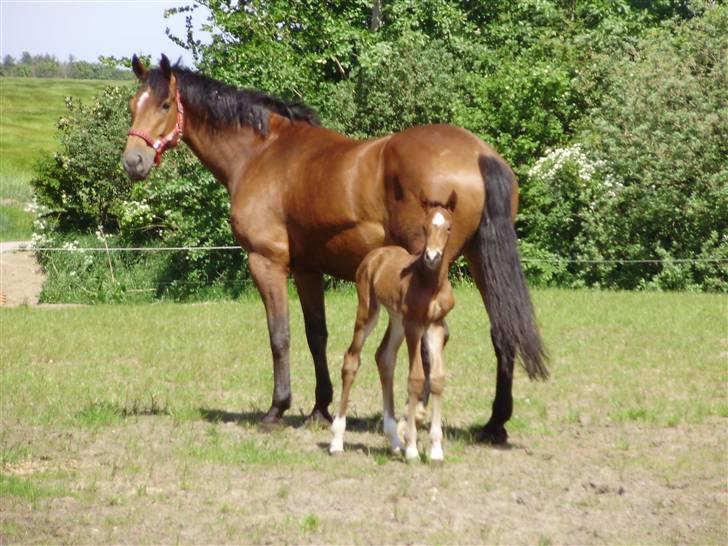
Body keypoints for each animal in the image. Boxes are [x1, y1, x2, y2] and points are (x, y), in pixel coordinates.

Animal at [332, 191, 458, 460]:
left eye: (448, 227)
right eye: (424, 227)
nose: (432, 257)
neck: (430, 283)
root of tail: (376, 254)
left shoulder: (435, 326)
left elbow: (437, 378)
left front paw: (435, 451)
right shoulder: (414, 326)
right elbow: (416, 378)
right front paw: (412, 449)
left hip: (396, 319)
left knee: (384, 357)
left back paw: (393, 440)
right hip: (369, 311)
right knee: (351, 359)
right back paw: (337, 440)